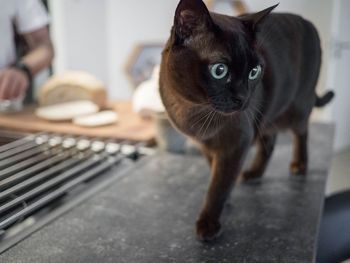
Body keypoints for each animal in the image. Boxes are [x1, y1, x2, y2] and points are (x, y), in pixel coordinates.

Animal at [159, 0, 334, 242]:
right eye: (219, 70)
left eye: (254, 72)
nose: (243, 98)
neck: (193, 109)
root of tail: (307, 22)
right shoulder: (207, 145)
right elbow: (217, 173)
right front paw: (228, 198)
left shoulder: (237, 142)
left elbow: (219, 183)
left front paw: (209, 223)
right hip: (266, 116)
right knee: (270, 143)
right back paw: (253, 174)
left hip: (297, 107)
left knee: (301, 132)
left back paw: (299, 166)